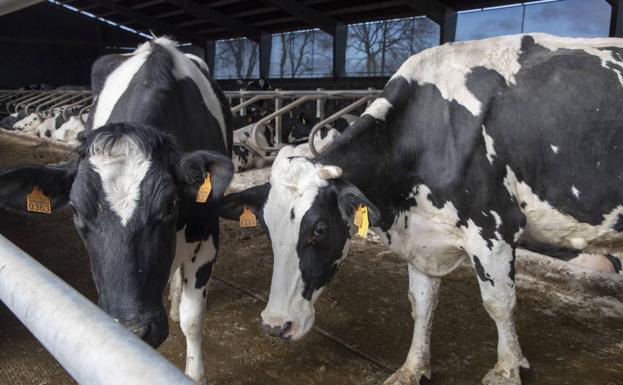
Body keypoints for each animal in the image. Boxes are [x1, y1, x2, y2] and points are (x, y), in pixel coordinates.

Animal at [0, 36, 233, 384]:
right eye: (76, 211)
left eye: (170, 204)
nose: (133, 330)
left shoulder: (207, 231)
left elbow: (193, 319)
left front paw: (195, 373)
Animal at [221, 33, 623, 384]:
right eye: (266, 229)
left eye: (318, 228)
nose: (275, 325)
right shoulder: (421, 235)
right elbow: (422, 303)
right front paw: (412, 369)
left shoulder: (494, 229)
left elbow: (499, 303)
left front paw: (507, 370)